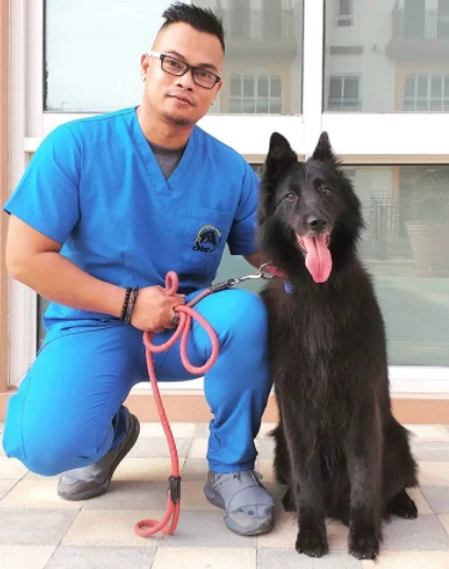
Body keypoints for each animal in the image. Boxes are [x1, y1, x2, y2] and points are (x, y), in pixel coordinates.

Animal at [258, 132, 418, 560]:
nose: (316, 222)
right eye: (290, 197)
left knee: (398, 479)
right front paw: (311, 533)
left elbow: (364, 477)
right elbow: (306, 478)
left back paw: (402, 503)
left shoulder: (360, 403)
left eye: (325, 190)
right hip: (279, 443)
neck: (317, 292)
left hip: (396, 437)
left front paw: (363, 534)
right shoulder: (296, 410)